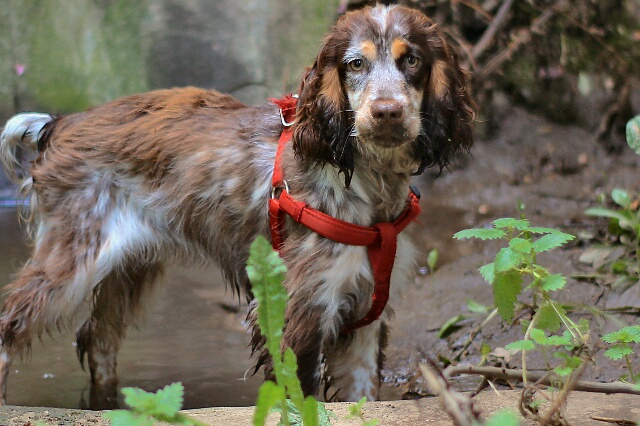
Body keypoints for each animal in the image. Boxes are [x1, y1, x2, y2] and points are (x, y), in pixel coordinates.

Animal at [0, 4, 476, 406]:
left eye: (411, 60)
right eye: (355, 64)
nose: (387, 112)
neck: (368, 180)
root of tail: (60, 123)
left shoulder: (366, 315)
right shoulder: (300, 307)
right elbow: (301, 399)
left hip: (129, 267)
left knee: (97, 342)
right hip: (71, 263)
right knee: (11, 326)